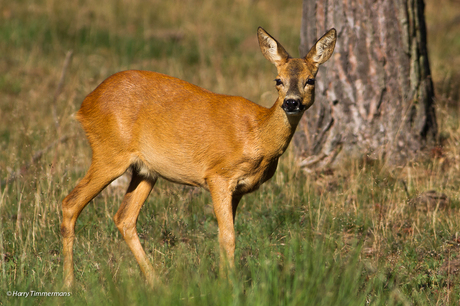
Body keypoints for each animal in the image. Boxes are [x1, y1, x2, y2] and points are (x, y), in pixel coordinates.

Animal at [61, 26, 336, 286]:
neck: (257, 134)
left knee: (124, 218)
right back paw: (70, 283)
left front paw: (225, 279)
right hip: (109, 152)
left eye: (310, 80)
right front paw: (229, 286)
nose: (291, 103)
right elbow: (228, 236)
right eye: (278, 80)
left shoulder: (237, 189)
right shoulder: (218, 176)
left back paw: (157, 283)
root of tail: (84, 106)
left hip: (145, 170)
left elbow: (224, 234)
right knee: (70, 203)